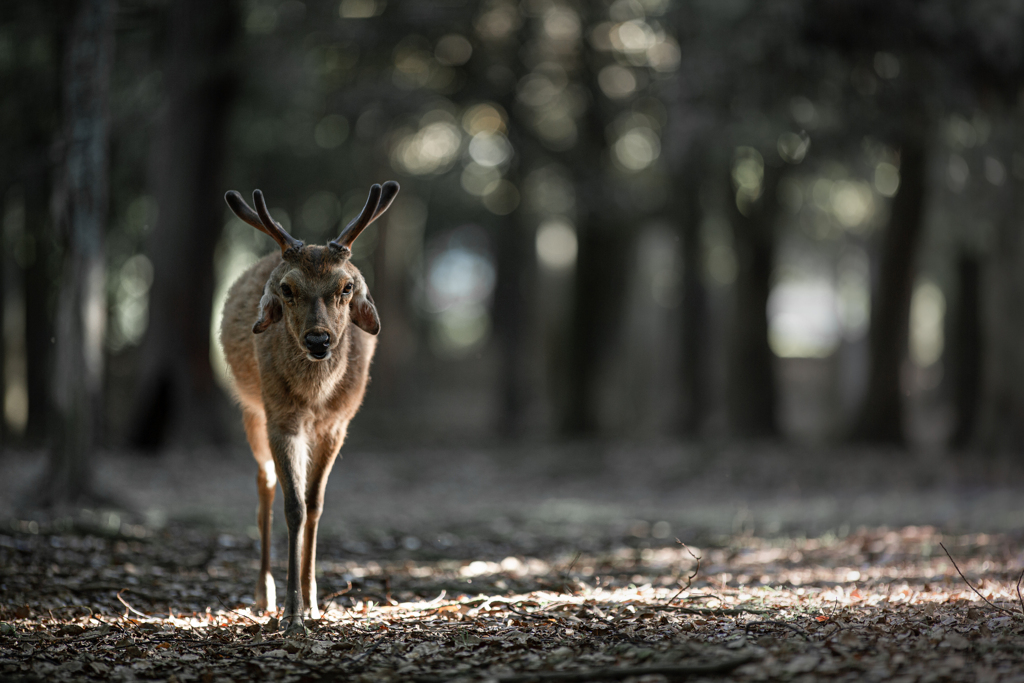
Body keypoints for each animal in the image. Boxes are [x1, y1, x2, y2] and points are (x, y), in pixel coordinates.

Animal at [218, 181, 397, 634]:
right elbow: (293, 507)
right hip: (252, 411)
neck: (314, 399)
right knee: (264, 483)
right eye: (287, 289)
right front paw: (291, 614)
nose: (319, 340)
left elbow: (314, 504)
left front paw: (314, 602)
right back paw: (264, 593)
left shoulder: (337, 424)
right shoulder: (281, 418)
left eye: (346, 288)